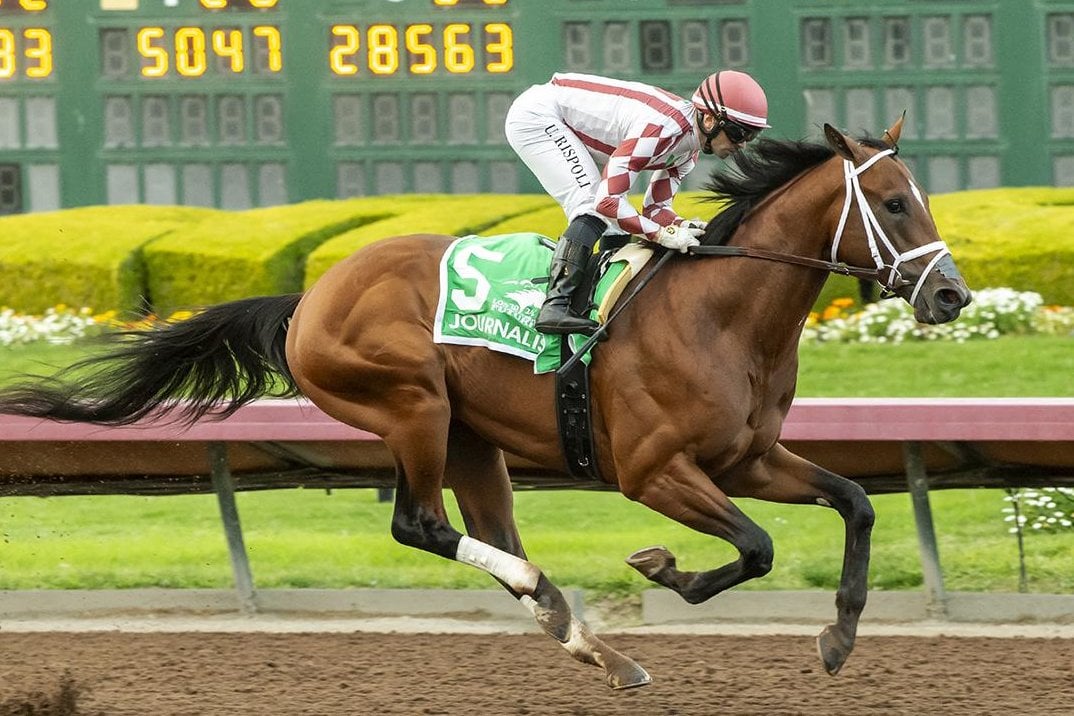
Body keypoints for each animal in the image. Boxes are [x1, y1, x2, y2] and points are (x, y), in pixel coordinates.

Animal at [0, 120, 975, 691]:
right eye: (894, 202)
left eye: (920, 196)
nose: (951, 295)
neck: (722, 314)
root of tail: (308, 299)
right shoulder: (654, 470)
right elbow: (758, 546)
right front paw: (664, 567)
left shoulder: (749, 457)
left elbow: (854, 503)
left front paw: (839, 636)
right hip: (412, 407)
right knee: (421, 525)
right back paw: (560, 606)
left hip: (474, 439)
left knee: (489, 535)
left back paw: (593, 644)